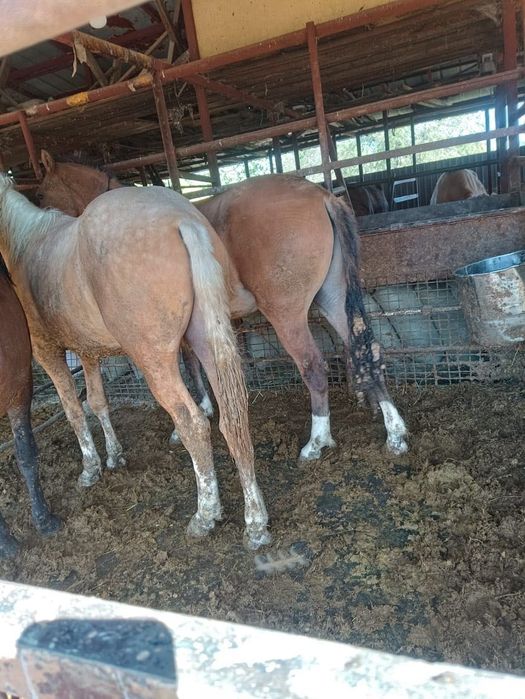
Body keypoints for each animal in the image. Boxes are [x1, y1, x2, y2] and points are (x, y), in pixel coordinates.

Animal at [0, 173, 269, 549]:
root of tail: (182, 219)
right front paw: (114, 455)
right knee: (233, 421)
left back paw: (204, 515)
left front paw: (90, 468)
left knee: (193, 424)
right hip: (207, 341)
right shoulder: (88, 352)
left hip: (154, 360)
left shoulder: (47, 352)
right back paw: (256, 523)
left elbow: (73, 411)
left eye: (41, 189)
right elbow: (98, 402)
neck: (26, 244)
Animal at [36, 152, 408, 460]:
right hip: (332, 298)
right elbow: (193, 363)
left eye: (40, 195)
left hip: (286, 313)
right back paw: (394, 430)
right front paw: (205, 406)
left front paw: (195, 412)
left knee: (314, 366)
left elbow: (189, 367)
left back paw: (316, 442)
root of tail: (321, 196)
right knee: (368, 348)